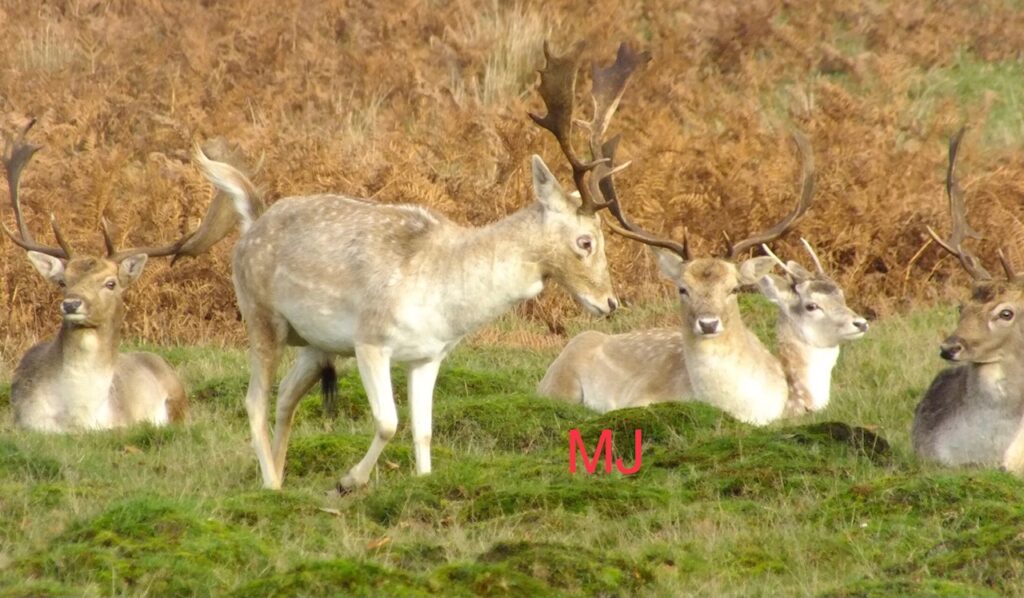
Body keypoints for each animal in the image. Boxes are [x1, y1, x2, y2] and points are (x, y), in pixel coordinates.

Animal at [1, 120, 191, 432]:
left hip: (178, 399)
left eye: (110, 283)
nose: (71, 304)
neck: (78, 419)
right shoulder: (25, 422)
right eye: (63, 281)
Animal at [186, 42, 662, 491]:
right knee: (254, 401)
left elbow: (423, 431)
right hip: (260, 316)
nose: (610, 302)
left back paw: (282, 479)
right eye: (586, 241)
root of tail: (252, 220)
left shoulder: (428, 356)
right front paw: (347, 482)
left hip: (315, 343)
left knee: (285, 396)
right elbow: (388, 422)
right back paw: (270, 484)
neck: (444, 297)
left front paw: (422, 480)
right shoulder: (370, 340)